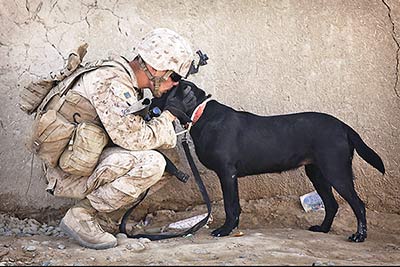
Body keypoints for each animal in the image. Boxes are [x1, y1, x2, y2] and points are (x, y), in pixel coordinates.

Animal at [152, 80, 384, 243]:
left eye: (163, 93)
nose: (147, 101)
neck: (201, 114)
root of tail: (343, 126)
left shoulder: (227, 173)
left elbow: (230, 205)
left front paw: (225, 230)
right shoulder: (231, 176)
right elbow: (235, 205)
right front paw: (233, 228)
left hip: (336, 171)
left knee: (358, 204)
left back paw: (359, 236)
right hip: (317, 172)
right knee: (332, 204)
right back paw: (323, 229)